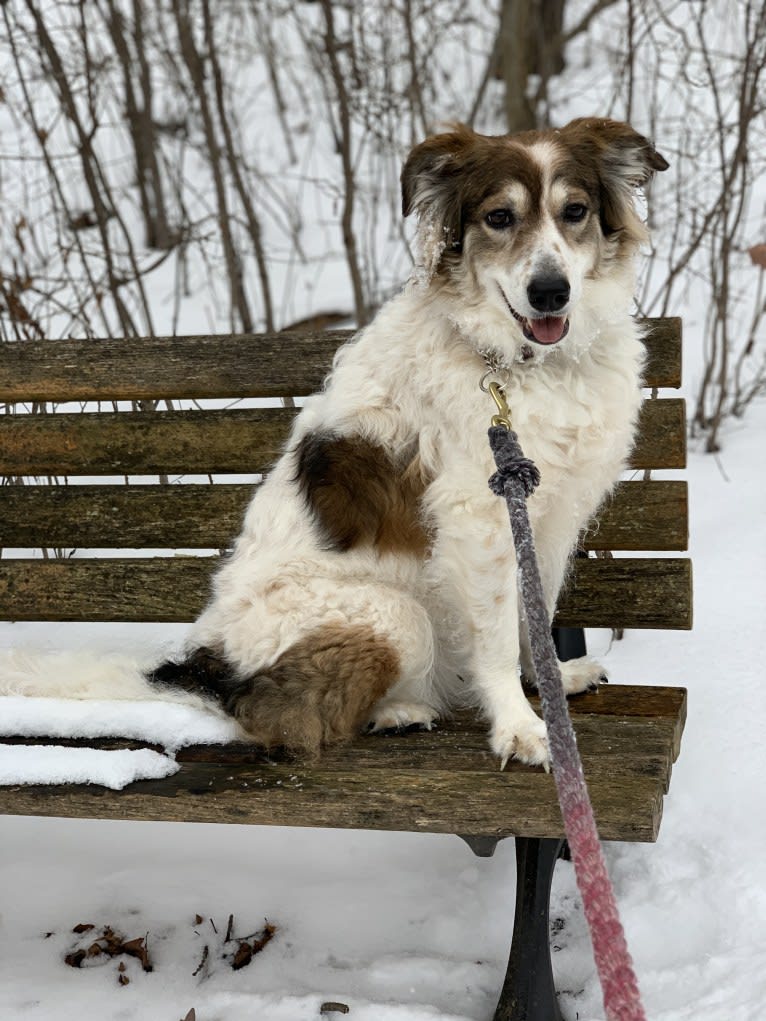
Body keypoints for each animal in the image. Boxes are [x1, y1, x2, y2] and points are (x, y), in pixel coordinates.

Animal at [0, 119, 669, 767]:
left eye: (574, 211)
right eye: (499, 218)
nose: (550, 292)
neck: (520, 364)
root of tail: (206, 668)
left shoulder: (548, 514)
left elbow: (536, 614)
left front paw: (551, 683)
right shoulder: (480, 519)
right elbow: (502, 633)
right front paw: (522, 727)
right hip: (393, 616)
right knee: (285, 717)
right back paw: (399, 711)